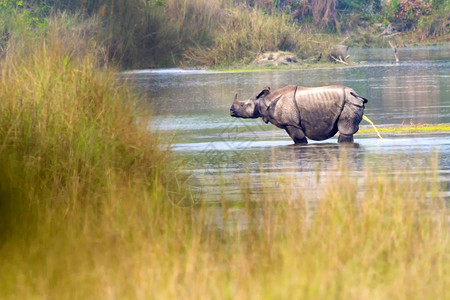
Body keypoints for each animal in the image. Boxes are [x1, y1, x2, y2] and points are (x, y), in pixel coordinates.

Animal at [230, 85, 368, 144]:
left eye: (242, 105)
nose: (231, 110)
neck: (265, 101)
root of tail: (357, 96)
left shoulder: (291, 123)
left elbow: (299, 139)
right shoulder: (289, 123)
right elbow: (297, 139)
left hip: (349, 103)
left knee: (345, 131)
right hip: (351, 102)